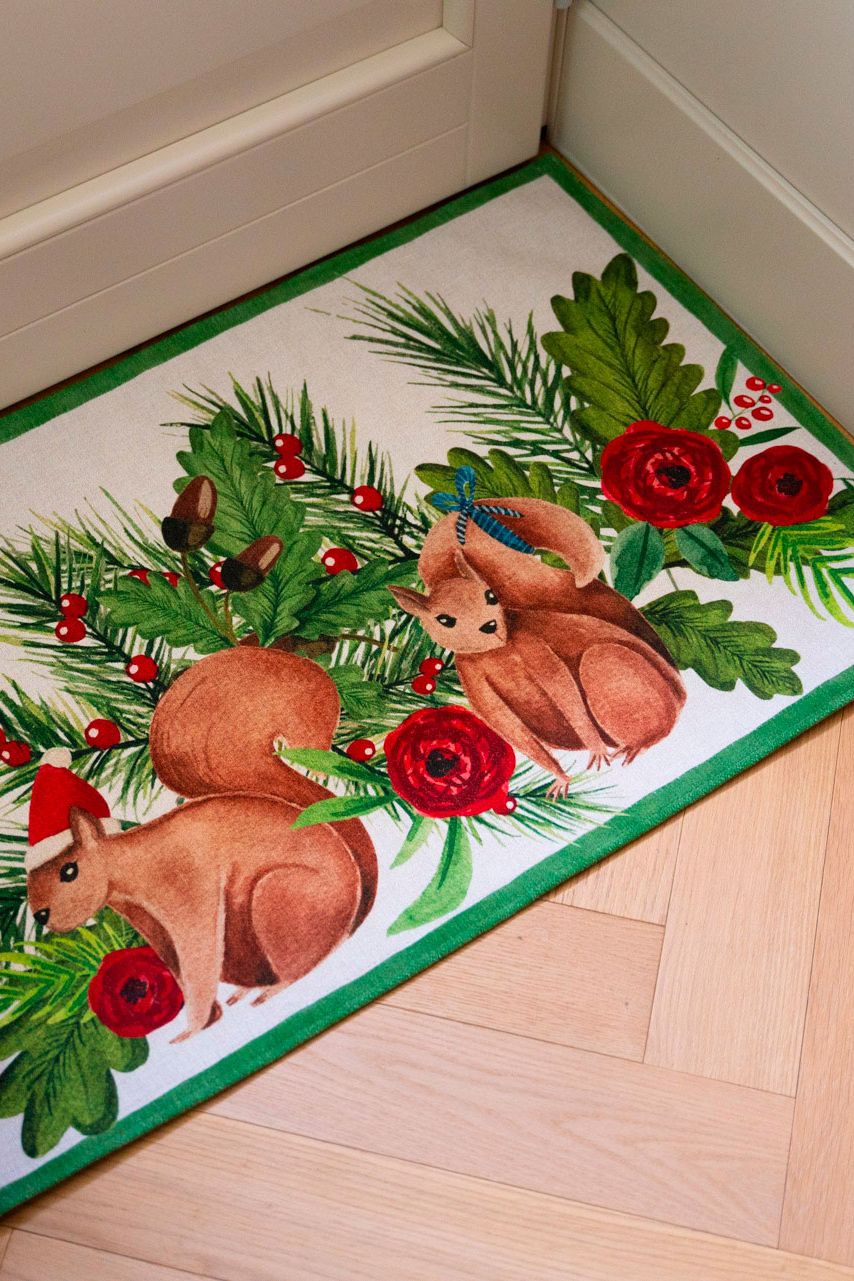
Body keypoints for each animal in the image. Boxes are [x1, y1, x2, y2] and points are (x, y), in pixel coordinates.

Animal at [26, 647, 378, 1042]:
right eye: (29, 881)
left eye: (69, 871)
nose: (41, 915)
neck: (130, 864)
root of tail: (352, 912)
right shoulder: (153, 927)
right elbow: (180, 968)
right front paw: (208, 1021)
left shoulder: (186, 893)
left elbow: (198, 959)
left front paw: (191, 1031)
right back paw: (248, 991)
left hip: (280, 900)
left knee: (301, 965)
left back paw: (272, 990)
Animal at [390, 496, 686, 796]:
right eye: (444, 620)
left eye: (490, 596)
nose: (489, 626)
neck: (497, 652)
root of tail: (679, 693)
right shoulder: (474, 683)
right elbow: (509, 727)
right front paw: (561, 777)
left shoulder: (533, 645)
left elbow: (563, 689)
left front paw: (595, 748)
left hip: (607, 667)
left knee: (659, 724)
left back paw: (638, 744)